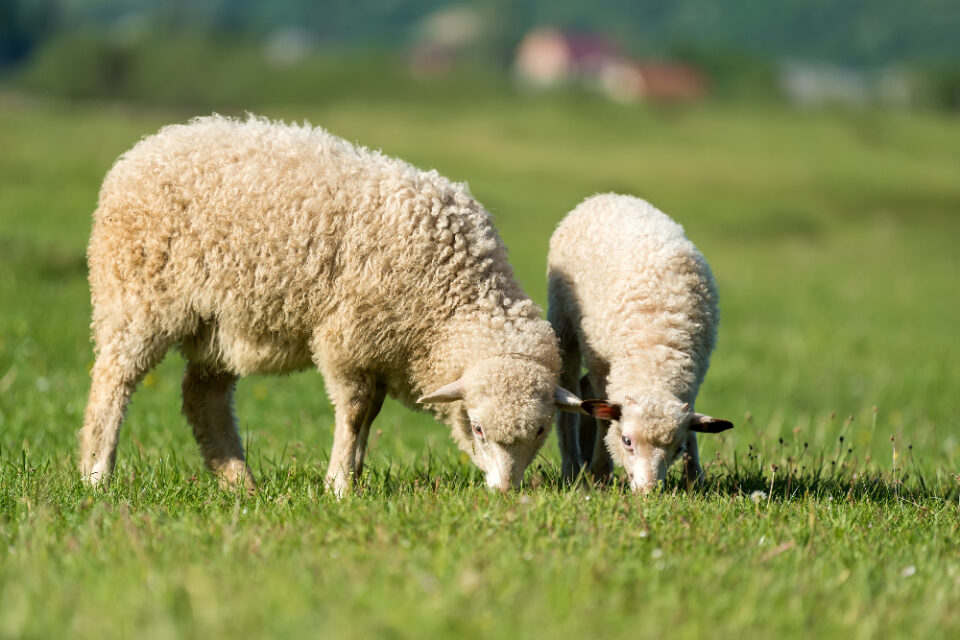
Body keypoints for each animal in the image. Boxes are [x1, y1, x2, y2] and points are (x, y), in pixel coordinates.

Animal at [80, 114, 583, 496]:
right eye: (477, 428)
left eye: (541, 430)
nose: (506, 492)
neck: (452, 298)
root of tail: (148, 147)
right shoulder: (349, 341)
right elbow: (357, 412)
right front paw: (339, 485)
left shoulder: (380, 347)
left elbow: (371, 414)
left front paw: (355, 475)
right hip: (136, 300)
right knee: (113, 382)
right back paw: (96, 475)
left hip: (218, 324)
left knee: (203, 399)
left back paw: (240, 483)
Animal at [547, 194, 733, 493]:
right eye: (627, 441)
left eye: (678, 448)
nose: (649, 492)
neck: (655, 355)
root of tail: (606, 196)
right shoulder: (601, 365)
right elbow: (604, 422)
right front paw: (600, 474)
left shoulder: (696, 374)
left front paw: (694, 479)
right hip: (564, 320)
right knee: (571, 394)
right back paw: (573, 466)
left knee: (584, 393)